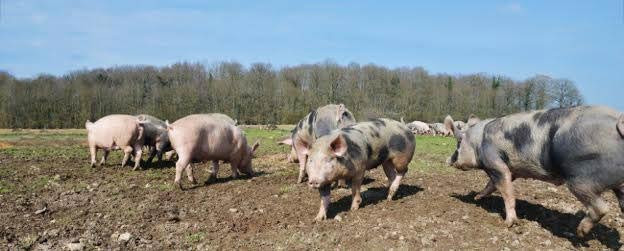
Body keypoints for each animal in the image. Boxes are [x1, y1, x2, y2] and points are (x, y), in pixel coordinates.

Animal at [444, 106, 624, 237]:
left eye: (458, 142)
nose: (448, 160)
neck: (477, 142)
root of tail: (618, 122)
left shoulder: (495, 163)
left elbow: (507, 192)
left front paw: (509, 224)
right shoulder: (508, 170)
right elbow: (491, 185)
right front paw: (477, 197)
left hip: (580, 180)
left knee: (601, 207)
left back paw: (580, 233)